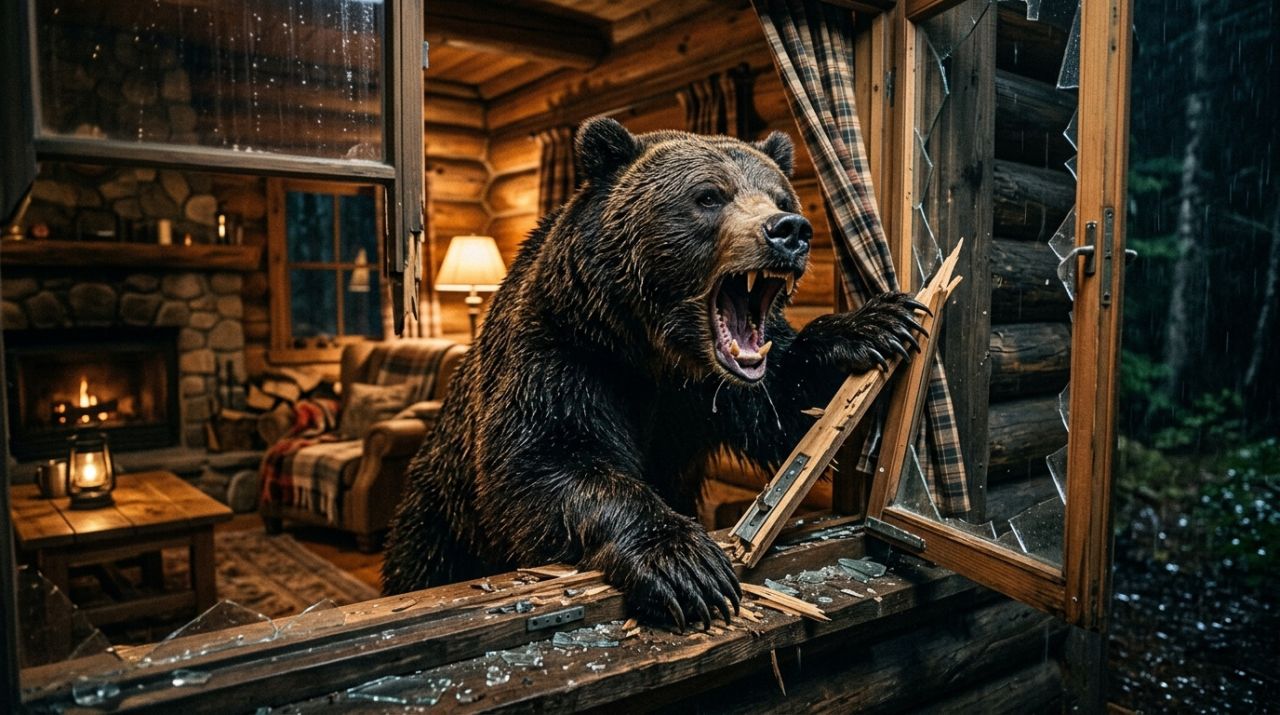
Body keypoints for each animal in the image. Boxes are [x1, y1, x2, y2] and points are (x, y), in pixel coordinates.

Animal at [381, 117, 926, 628]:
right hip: (439, 523)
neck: (658, 353)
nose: (789, 229)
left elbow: (787, 408)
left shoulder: (709, 393)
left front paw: (878, 323)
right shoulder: (562, 356)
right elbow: (545, 461)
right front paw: (687, 564)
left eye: (778, 195)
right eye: (709, 196)